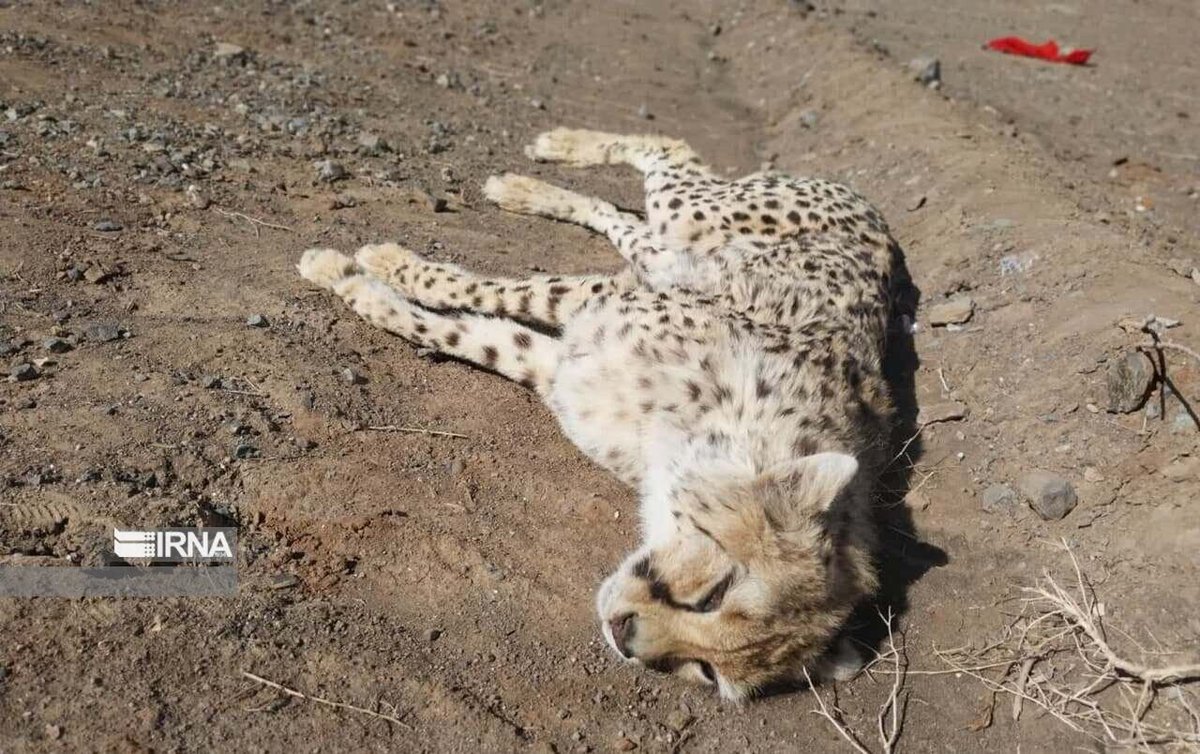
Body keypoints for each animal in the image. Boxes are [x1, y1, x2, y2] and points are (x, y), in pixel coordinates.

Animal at [298, 128, 901, 701]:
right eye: (714, 593)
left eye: (705, 670)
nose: (625, 637)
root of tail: (880, 227)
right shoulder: (602, 299)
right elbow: (500, 291)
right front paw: (364, 267)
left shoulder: (554, 364)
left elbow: (464, 333)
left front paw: (364, 282)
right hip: (693, 213)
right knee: (662, 155)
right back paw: (542, 162)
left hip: (678, 241)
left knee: (626, 220)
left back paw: (525, 185)